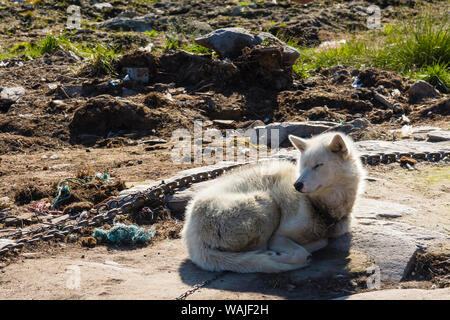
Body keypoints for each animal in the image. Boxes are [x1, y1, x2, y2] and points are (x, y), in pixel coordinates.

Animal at [181, 132, 364, 272]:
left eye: (318, 165)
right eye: (303, 165)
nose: (297, 185)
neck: (319, 206)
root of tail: (191, 233)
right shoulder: (278, 237)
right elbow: (303, 251)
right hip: (267, 203)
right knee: (259, 250)